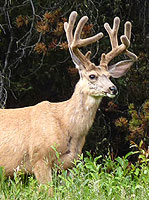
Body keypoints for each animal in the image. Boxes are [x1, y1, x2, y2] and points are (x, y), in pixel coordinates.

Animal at [0, 11, 137, 188]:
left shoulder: (71, 164)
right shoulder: (39, 157)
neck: (66, 125)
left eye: (109, 76)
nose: (113, 88)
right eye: (92, 76)